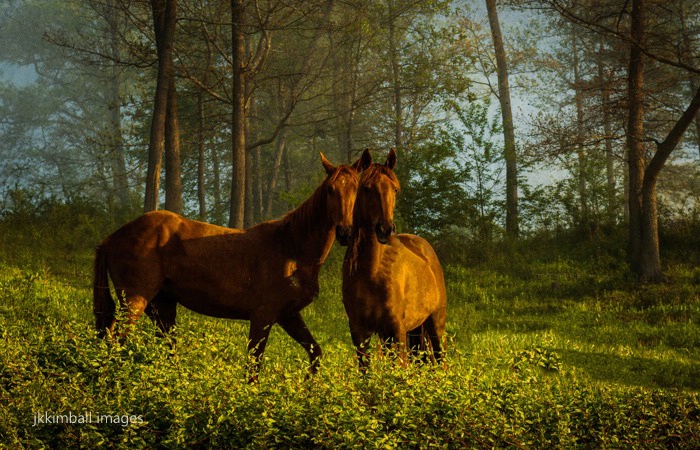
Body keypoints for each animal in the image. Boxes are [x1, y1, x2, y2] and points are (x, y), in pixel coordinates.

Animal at [93, 152, 372, 380]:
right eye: (331, 190)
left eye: (357, 189)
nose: (345, 232)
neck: (291, 248)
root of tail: (111, 238)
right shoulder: (263, 316)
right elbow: (253, 367)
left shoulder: (288, 315)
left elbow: (315, 353)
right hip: (135, 301)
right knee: (115, 342)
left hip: (161, 307)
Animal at [342, 149, 446, 370]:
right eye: (366, 188)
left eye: (395, 189)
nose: (385, 229)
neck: (371, 272)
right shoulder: (359, 332)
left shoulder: (396, 330)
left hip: (435, 326)